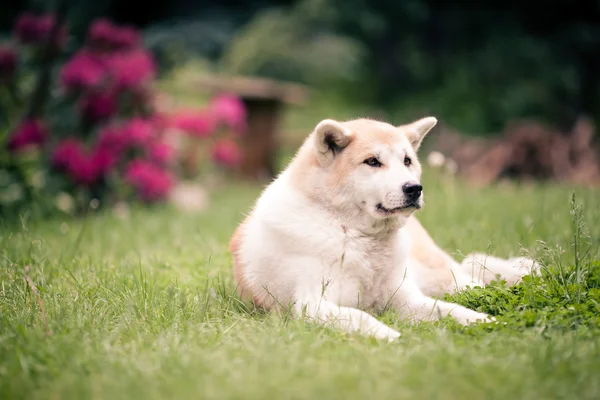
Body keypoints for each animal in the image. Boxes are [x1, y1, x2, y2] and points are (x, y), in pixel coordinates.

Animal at [230, 115, 540, 340]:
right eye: (372, 161)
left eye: (407, 161)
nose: (414, 188)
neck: (352, 233)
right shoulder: (310, 304)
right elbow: (360, 316)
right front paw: (391, 336)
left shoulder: (406, 299)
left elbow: (452, 311)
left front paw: (487, 321)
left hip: (444, 279)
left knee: (473, 279)